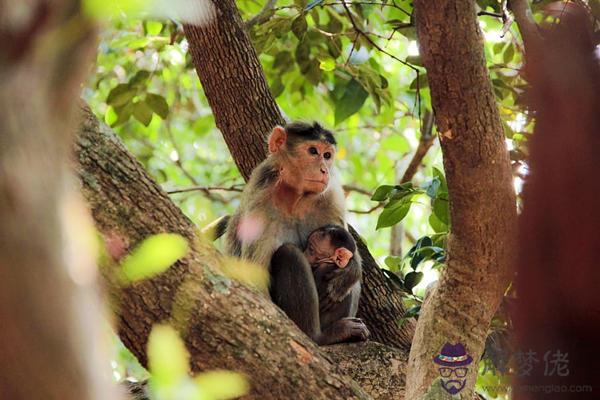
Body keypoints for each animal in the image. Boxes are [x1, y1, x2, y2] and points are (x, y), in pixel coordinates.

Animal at [224, 122, 368, 346]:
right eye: (313, 151)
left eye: (327, 155)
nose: (324, 170)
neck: (293, 199)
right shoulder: (259, 206)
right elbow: (256, 280)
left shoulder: (330, 196)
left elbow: (348, 246)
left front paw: (349, 272)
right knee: (288, 253)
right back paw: (320, 337)